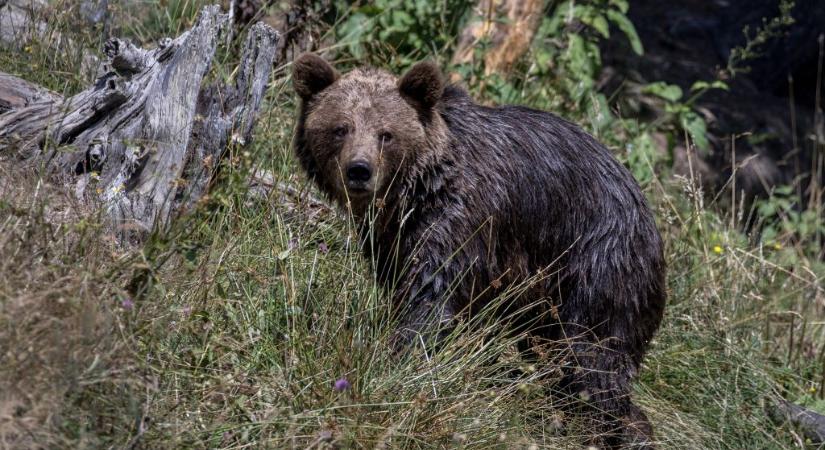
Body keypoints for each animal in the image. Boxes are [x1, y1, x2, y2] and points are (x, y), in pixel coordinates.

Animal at [292, 52, 668, 446]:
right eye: (341, 128)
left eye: (386, 134)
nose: (359, 170)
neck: (417, 189)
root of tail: (649, 218)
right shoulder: (393, 238)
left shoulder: (463, 217)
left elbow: (432, 296)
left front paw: (400, 361)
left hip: (598, 266)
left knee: (592, 359)